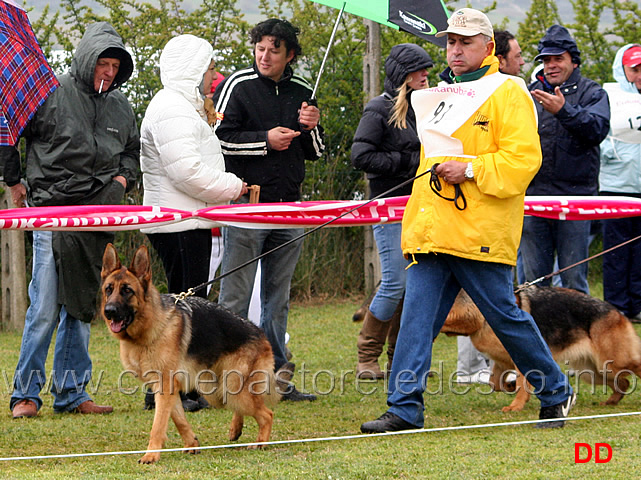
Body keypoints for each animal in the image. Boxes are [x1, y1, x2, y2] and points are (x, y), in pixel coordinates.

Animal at [100, 246, 288, 464]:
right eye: (108, 289)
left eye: (127, 290)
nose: (109, 311)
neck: (153, 324)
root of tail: (261, 333)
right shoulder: (165, 388)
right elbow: (178, 419)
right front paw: (192, 444)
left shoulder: (165, 386)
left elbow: (158, 425)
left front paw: (151, 455)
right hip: (216, 390)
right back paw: (236, 429)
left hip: (233, 390)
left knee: (267, 414)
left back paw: (260, 443)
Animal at [440, 284, 641, 412]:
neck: (484, 317)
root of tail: (618, 312)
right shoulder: (502, 363)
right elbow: (495, 383)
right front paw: (510, 386)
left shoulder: (521, 358)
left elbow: (521, 384)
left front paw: (516, 406)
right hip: (593, 372)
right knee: (623, 383)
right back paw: (611, 402)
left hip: (613, 363)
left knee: (633, 370)